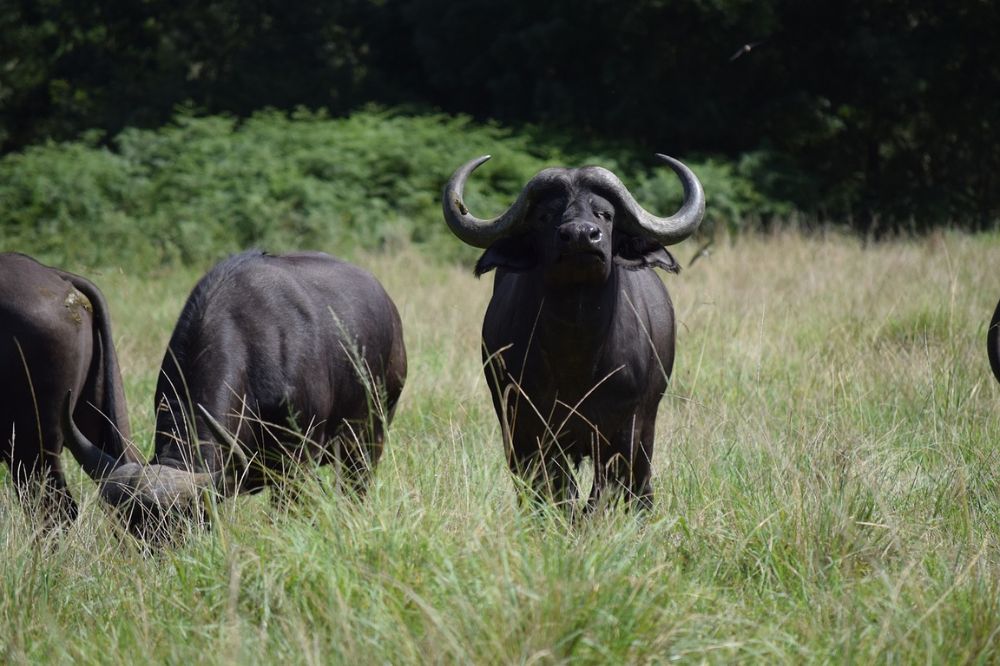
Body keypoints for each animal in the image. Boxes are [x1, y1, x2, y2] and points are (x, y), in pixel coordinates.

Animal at [446, 156, 704, 508]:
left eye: (604, 214)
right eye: (546, 215)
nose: (581, 235)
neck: (578, 351)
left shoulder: (625, 429)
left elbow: (606, 491)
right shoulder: (531, 431)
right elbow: (554, 491)